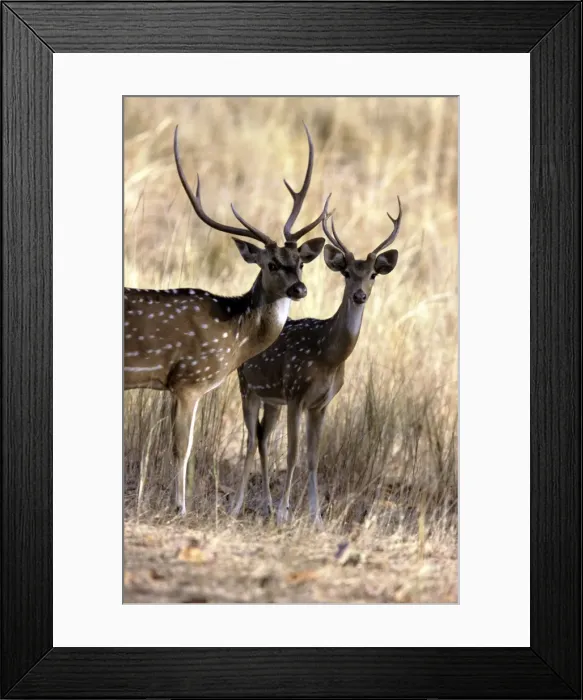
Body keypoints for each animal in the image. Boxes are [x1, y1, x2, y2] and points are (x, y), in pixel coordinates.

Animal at [124, 123, 330, 515]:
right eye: (271, 264)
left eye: (300, 262)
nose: (300, 289)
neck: (233, 335)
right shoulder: (189, 379)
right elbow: (182, 447)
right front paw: (181, 507)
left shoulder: (175, 385)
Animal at [232, 196, 402, 526]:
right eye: (346, 273)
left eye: (373, 274)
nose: (360, 295)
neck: (328, 357)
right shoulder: (296, 393)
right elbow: (292, 454)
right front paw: (285, 513)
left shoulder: (321, 403)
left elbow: (312, 457)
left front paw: (315, 516)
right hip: (247, 386)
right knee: (250, 439)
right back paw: (238, 506)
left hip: (272, 398)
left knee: (262, 437)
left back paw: (265, 506)